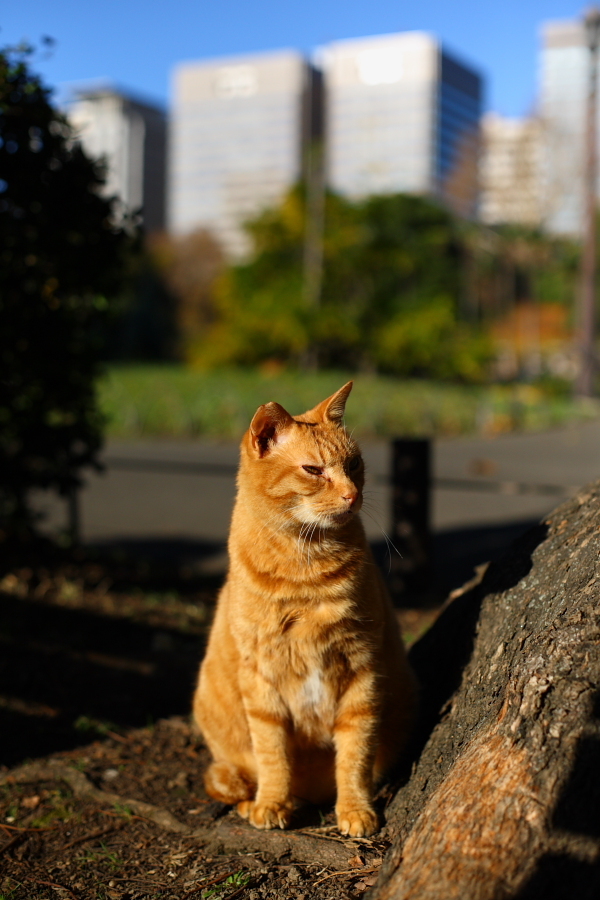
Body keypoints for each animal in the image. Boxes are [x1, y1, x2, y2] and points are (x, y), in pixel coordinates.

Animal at [193, 382, 418, 836]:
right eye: (314, 470)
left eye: (353, 464)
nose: (353, 495)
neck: (306, 568)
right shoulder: (261, 678)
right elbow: (272, 753)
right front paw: (272, 803)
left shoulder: (363, 669)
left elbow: (356, 754)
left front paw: (354, 809)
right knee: (233, 775)